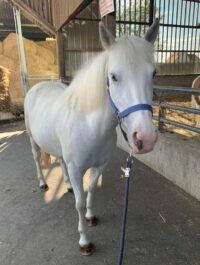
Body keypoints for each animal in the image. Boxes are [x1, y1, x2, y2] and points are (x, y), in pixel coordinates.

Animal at [24, 19, 159, 255]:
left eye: (153, 74)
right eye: (113, 76)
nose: (146, 138)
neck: (90, 127)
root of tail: (37, 86)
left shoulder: (99, 166)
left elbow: (92, 191)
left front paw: (90, 217)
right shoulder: (78, 170)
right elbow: (79, 202)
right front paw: (85, 241)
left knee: (60, 162)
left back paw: (67, 185)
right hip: (33, 140)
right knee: (37, 159)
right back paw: (42, 183)